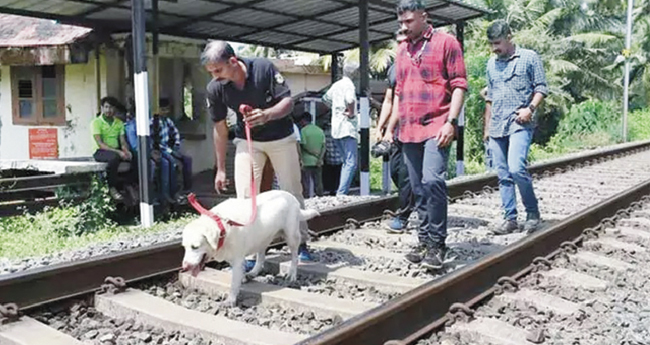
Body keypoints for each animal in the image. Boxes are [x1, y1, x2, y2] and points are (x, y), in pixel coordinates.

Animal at [180, 189, 318, 306]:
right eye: (184, 247)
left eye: (195, 247)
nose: (184, 267)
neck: (222, 226)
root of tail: (290, 196)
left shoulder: (237, 260)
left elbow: (234, 283)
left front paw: (231, 300)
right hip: (262, 237)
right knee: (261, 257)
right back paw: (252, 273)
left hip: (291, 236)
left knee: (294, 256)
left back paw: (292, 274)